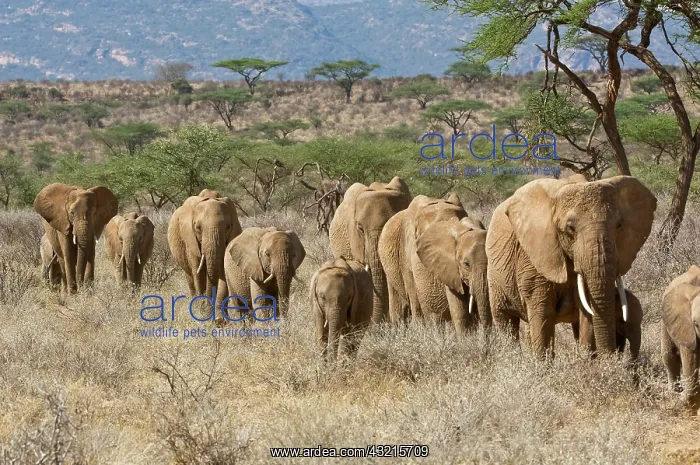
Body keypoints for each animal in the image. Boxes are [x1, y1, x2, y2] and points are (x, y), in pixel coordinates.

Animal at [486, 174, 656, 359]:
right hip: (495, 277)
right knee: (506, 321)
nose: (612, 358)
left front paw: (587, 360)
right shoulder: (533, 258)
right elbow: (543, 313)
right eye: (570, 228)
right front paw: (542, 365)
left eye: (618, 226)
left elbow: (587, 312)